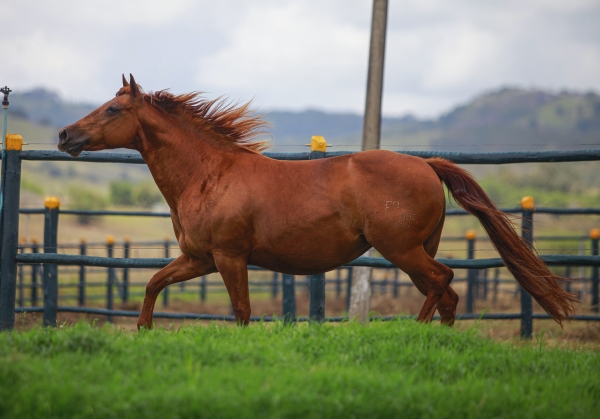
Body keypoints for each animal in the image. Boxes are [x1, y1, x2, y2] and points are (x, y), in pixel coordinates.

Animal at [57, 77, 576, 330]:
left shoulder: (229, 257)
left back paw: (415, 330)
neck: (208, 174)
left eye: (113, 109)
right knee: (446, 292)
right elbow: (153, 283)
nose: (64, 135)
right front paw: (143, 330)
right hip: (416, 251)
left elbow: (242, 311)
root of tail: (426, 165)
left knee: (443, 282)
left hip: (401, 250)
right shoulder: (199, 258)